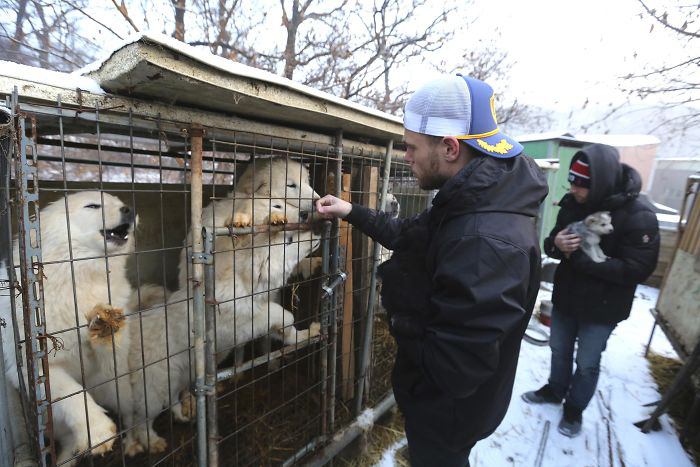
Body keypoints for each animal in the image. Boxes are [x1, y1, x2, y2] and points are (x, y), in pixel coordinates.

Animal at [0, 192, 139, 466]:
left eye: (118, 202)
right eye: (93, 205)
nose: (129, 210)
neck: (81, 276)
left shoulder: (109, 364)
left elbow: (110, 348)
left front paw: (106, 328)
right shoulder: (40, 369)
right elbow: (75, 394)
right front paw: (96, 431)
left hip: (120, 392)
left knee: (130, 417)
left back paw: (138, 442)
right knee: (69, 441)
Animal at [127, 203, 322, 456]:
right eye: (289, 240)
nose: (317, 232)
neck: (246, 284)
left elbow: (285, 328)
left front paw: (308, 333)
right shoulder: (247, 321)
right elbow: (282, 314)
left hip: (177, 376)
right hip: (154, 388)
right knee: (141, 420)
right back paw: (151, 442)